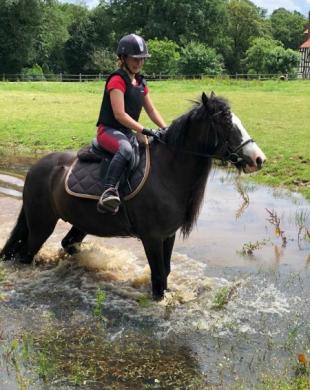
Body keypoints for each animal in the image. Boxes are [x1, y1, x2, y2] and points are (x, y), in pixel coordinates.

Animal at [0, 93, 266, 300]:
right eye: (225, 123)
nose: (258, 159)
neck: (166, 172)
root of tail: (36, 168)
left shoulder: (168, 235)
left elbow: (166, 272)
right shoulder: (152, 237)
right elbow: (158, 278)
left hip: (81, 222)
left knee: (68, 243)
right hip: (41, 225)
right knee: (26, 254)